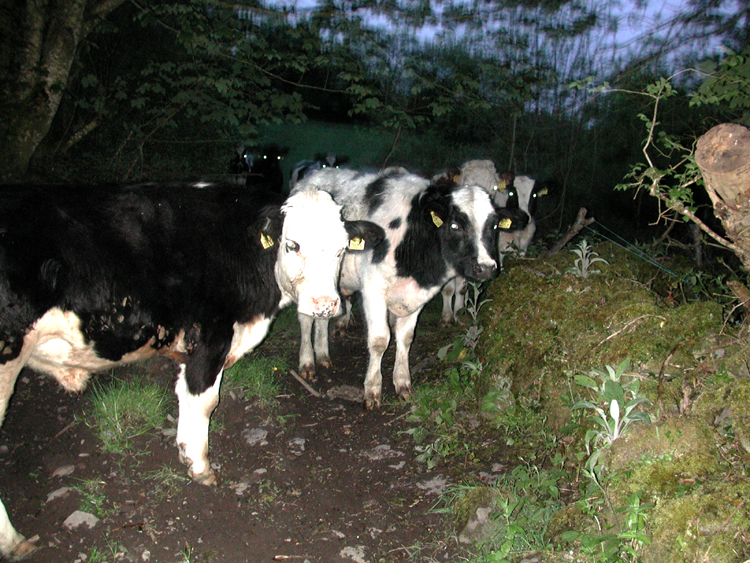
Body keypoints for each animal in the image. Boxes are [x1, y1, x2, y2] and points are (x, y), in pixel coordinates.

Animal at [0, 182, 384, 560]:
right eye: (293, 245)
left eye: (341, 250)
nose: (326, 305)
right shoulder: (211, 336)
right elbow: (204, 402)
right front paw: (200, 467)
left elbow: (185, 398)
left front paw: (186, 451)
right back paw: (13, 540)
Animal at [290, 165, 524, 408]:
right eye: (455, 225)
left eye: (494, 225)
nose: (486, 268)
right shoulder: (373, 289)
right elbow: (379, 340)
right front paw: (372, 389)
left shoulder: (416, 295)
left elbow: (406, 337)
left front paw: (402, 382)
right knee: (305, 320)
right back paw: (308, 362)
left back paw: (322, 353)